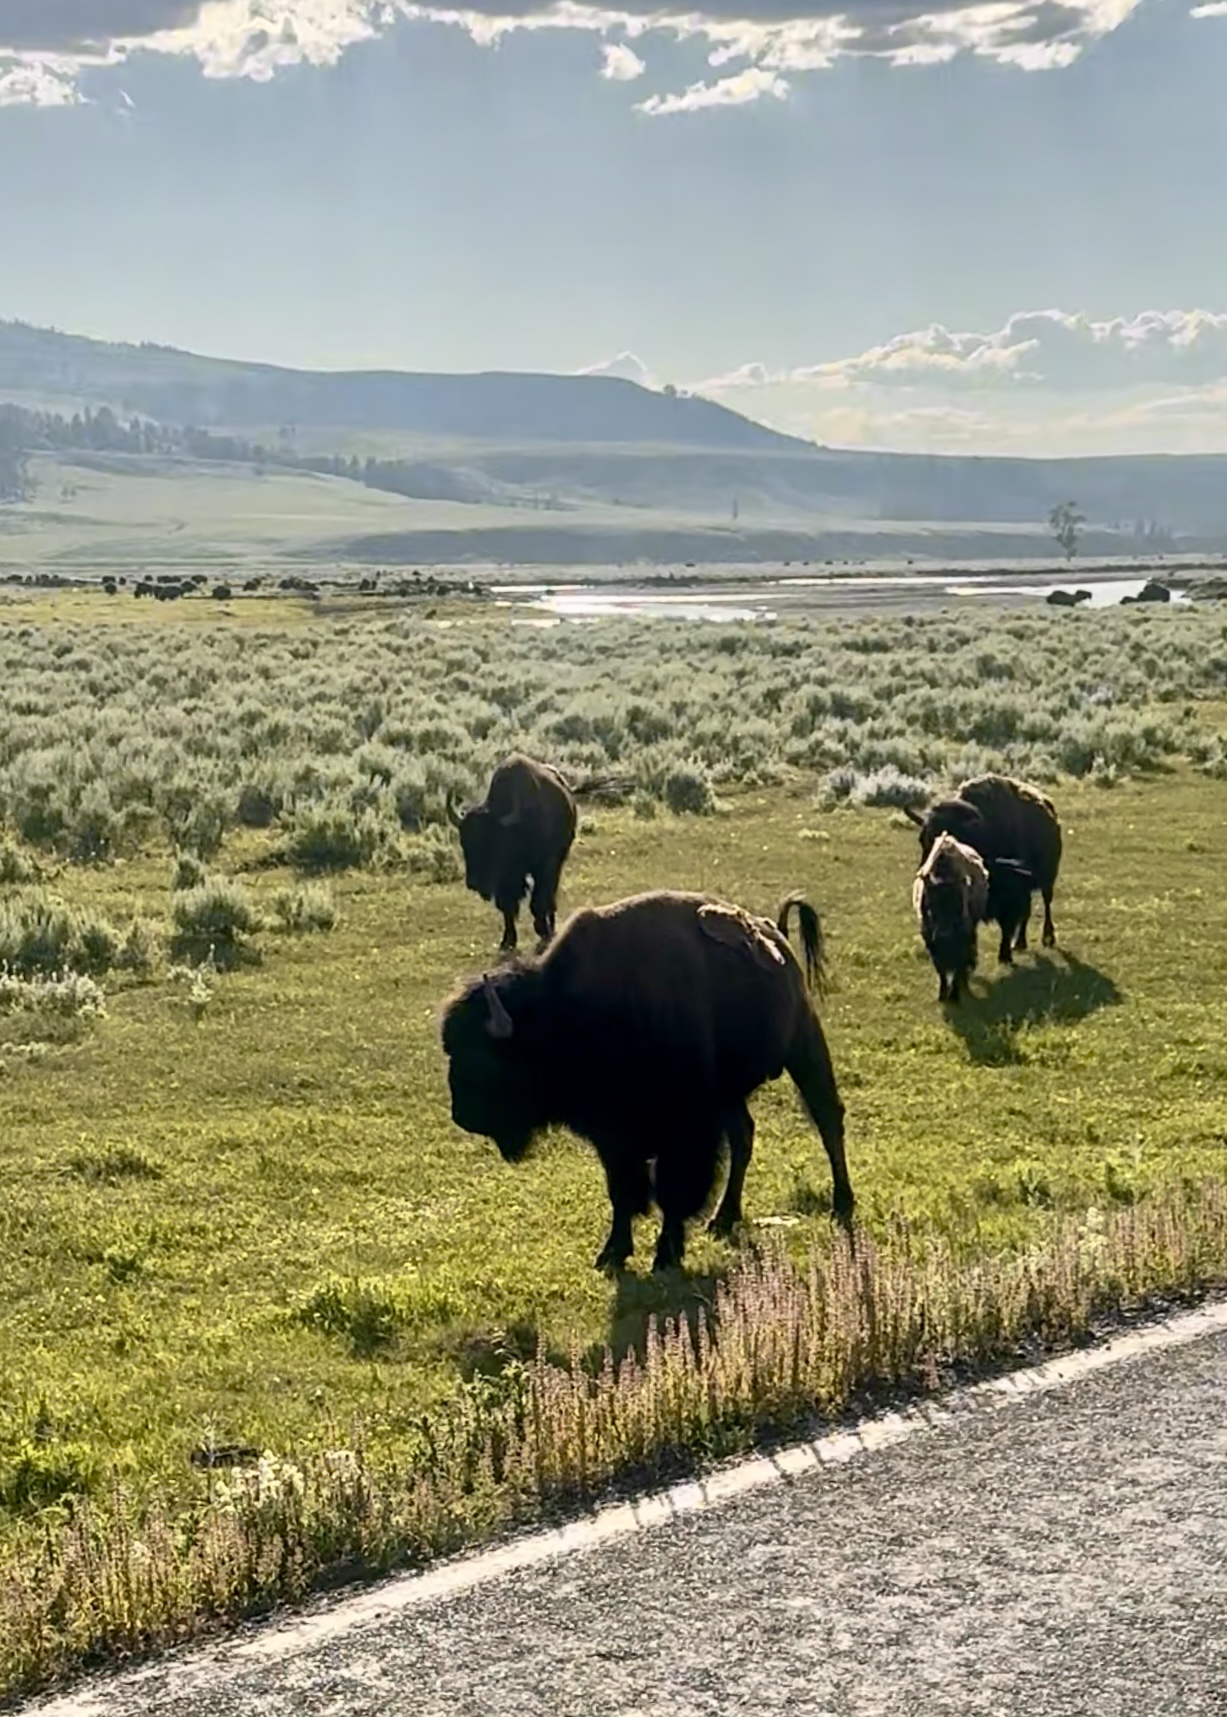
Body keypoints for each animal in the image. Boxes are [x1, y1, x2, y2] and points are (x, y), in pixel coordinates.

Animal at [440, 888, 854, 1273]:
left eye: (484, 1058)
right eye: (451, 1051)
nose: (463, 1117)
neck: (571, 1013)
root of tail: (774, 933)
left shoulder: (685, 1125)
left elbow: (672, 1188)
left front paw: (665, 1254)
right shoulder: (613, 1134)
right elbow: (623, 1191)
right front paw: (612, 1253)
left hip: (804, 1047)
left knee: (828, 1121)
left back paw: (842, 1203)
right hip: (732, 1094)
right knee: (744, 1138)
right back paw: (723, 1218)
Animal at [447, 754, 578, 953]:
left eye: (492, 842)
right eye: (463, 843)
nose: (474, 883)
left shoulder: (544, 866)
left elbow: (537, 901)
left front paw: (542, 930)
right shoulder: (507, 880)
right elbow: (507, 907)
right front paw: (507, 941)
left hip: (557, 862)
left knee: (550, 897)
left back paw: (550, 927)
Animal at [904, 772, 1061, 955]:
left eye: (952, 843)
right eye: (922, 840)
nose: (931, 875)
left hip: (1047, 879)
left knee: (1046, 903)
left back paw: (1047, 938)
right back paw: (1019, 943)